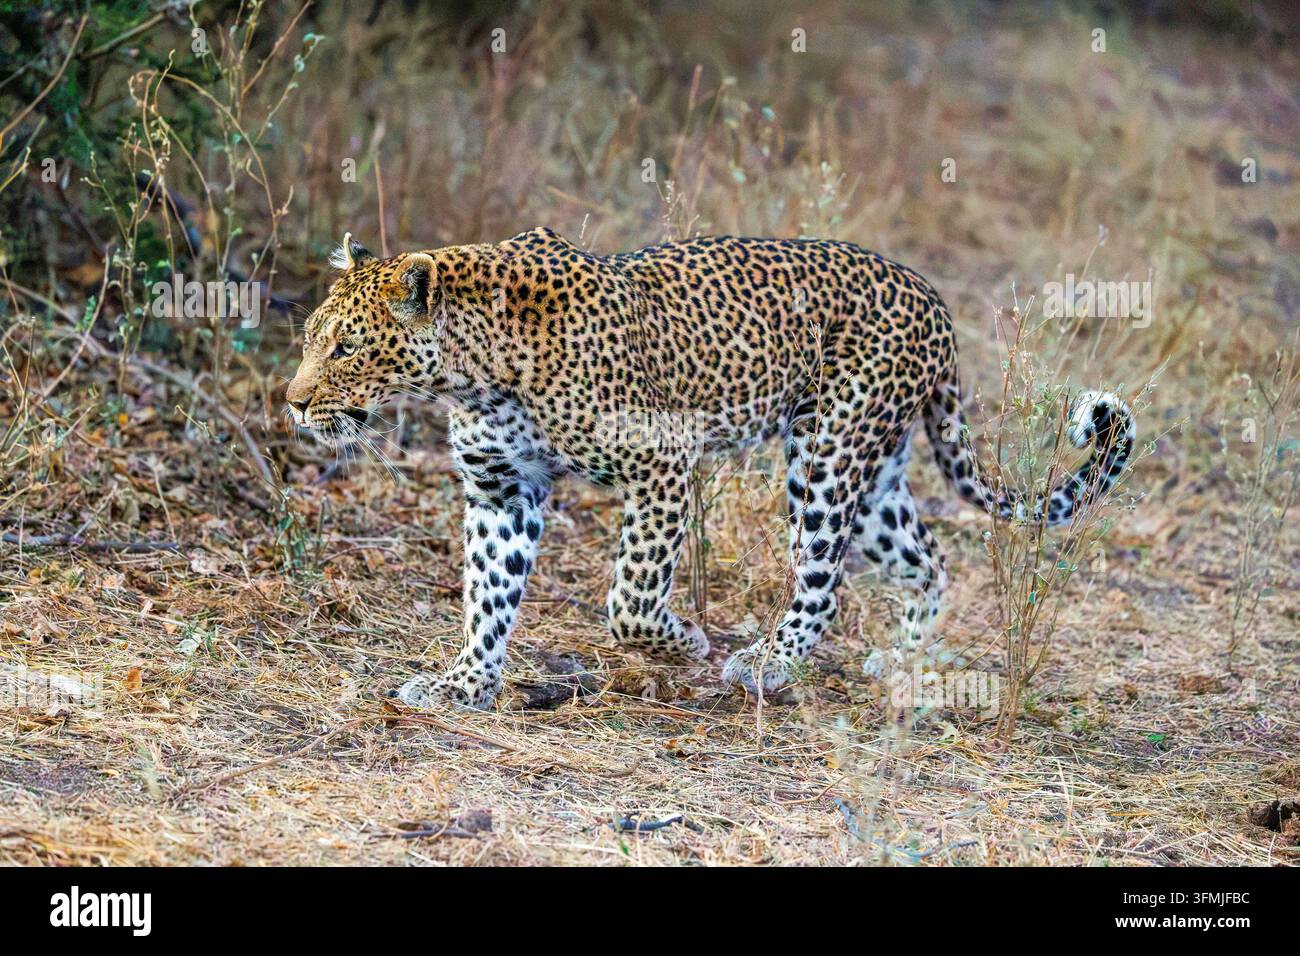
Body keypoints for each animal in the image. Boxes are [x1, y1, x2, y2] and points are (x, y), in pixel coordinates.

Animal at [286, 227, 1135, 709]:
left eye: (348, 348)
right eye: (308, 339)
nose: (293, 404)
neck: (473, 370)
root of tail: (932, 296)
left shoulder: (662, 463)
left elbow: (629, 597)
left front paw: (682, 644)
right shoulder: (502, 490)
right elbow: (488, 597)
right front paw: (465, 684)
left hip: (826, 454)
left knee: (823, 582)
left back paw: (768, 665)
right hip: (876, 473)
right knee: (929, 559)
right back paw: (904, 657)